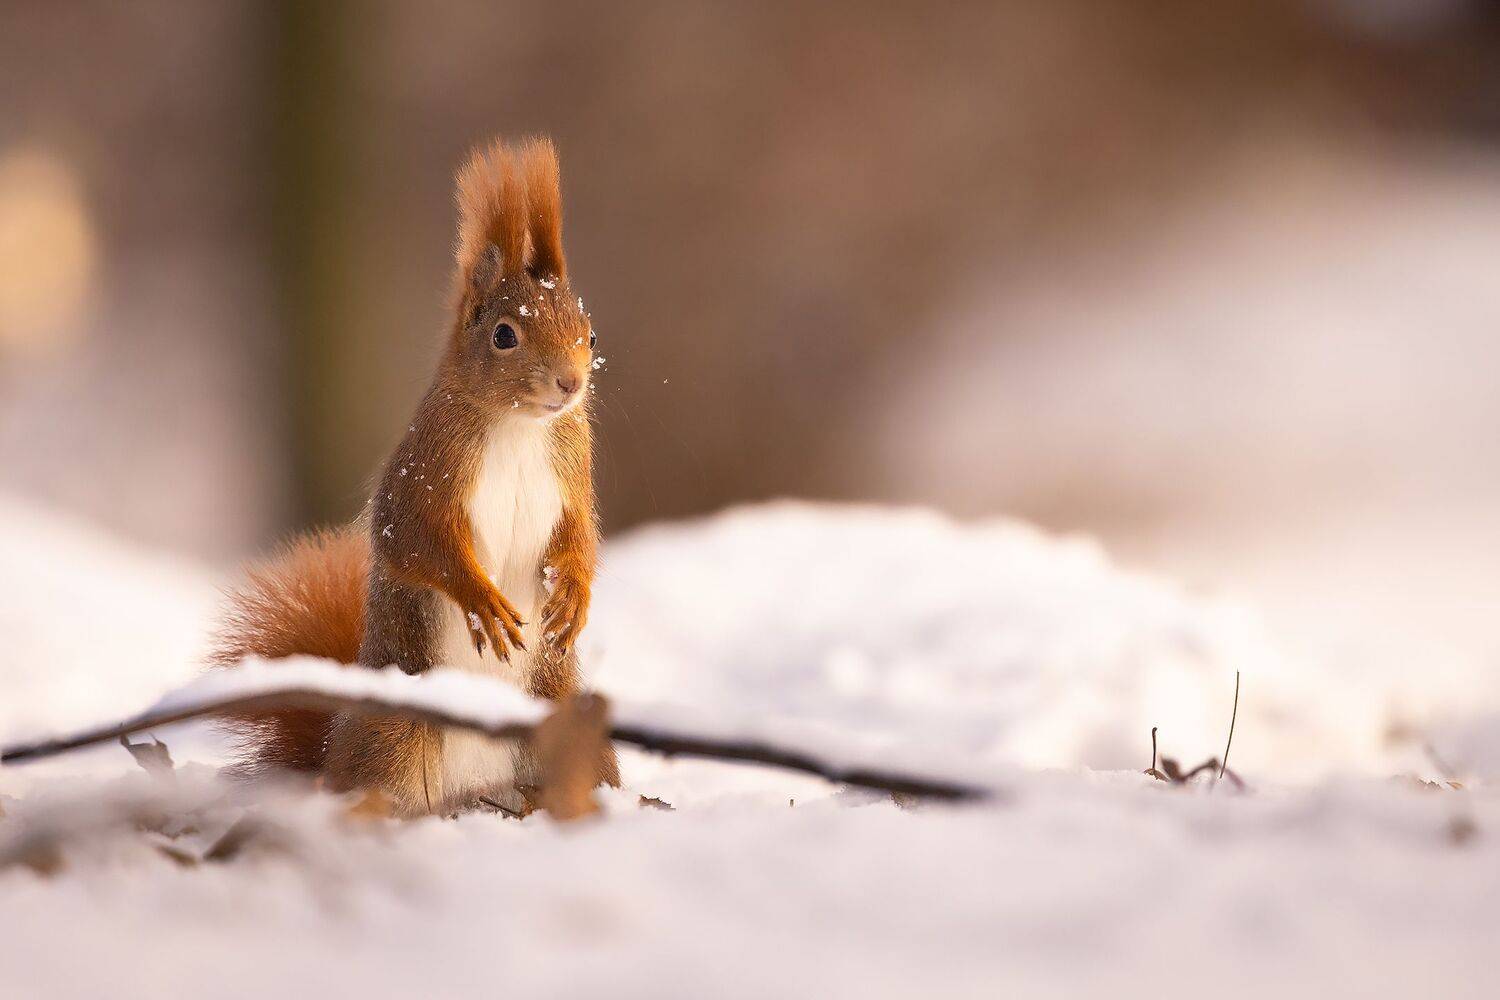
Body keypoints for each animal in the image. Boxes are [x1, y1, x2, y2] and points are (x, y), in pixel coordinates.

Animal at [212, 136, 618, 816]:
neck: (519, 425)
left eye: (588, 332)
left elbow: (580, 537)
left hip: (562, 716)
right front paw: (483, 600)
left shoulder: (571, 474)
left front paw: (574, 595)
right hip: (396, 731)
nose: (571, 383)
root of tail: (475, 789)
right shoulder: (425, 474)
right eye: (504, 335)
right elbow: (412, 539)